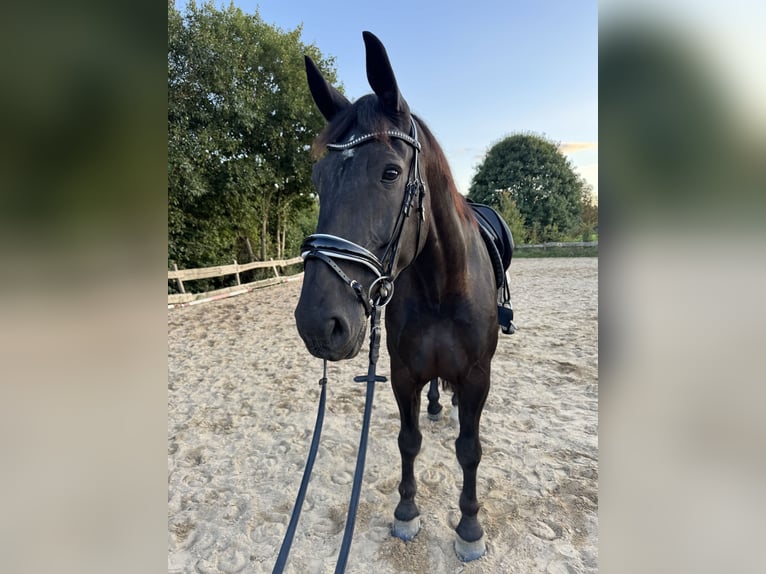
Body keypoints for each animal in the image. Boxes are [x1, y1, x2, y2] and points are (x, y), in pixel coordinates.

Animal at [294, 31, 501, 562]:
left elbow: (469, 449)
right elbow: (408, 440)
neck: (441, 289)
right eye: (317, 180)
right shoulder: (405, 373)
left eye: (390, 172)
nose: (317, 323)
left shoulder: (477, 377)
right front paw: (406, 511)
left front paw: (469, 527)